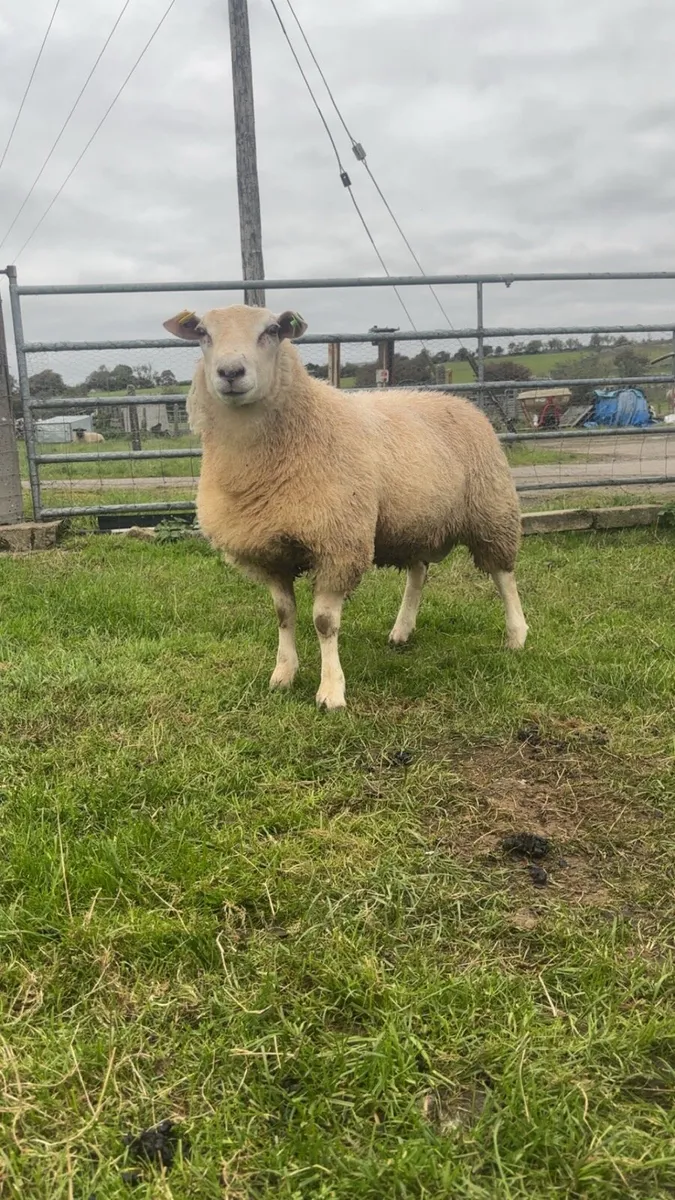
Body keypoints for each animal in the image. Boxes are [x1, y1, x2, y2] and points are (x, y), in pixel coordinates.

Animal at [163, 304, 528, 710]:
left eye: (272, 331)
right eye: (202, 333)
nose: (230, 372)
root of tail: (458, 401)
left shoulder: (338, 544)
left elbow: (324, 622)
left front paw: (331, 691)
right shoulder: (269, 553)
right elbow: (283, 615)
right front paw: (283, 674)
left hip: (492, 511)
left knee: (504, 576)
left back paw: (517, 635)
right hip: (415, 520)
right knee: (419, 572)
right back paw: (402, 630)